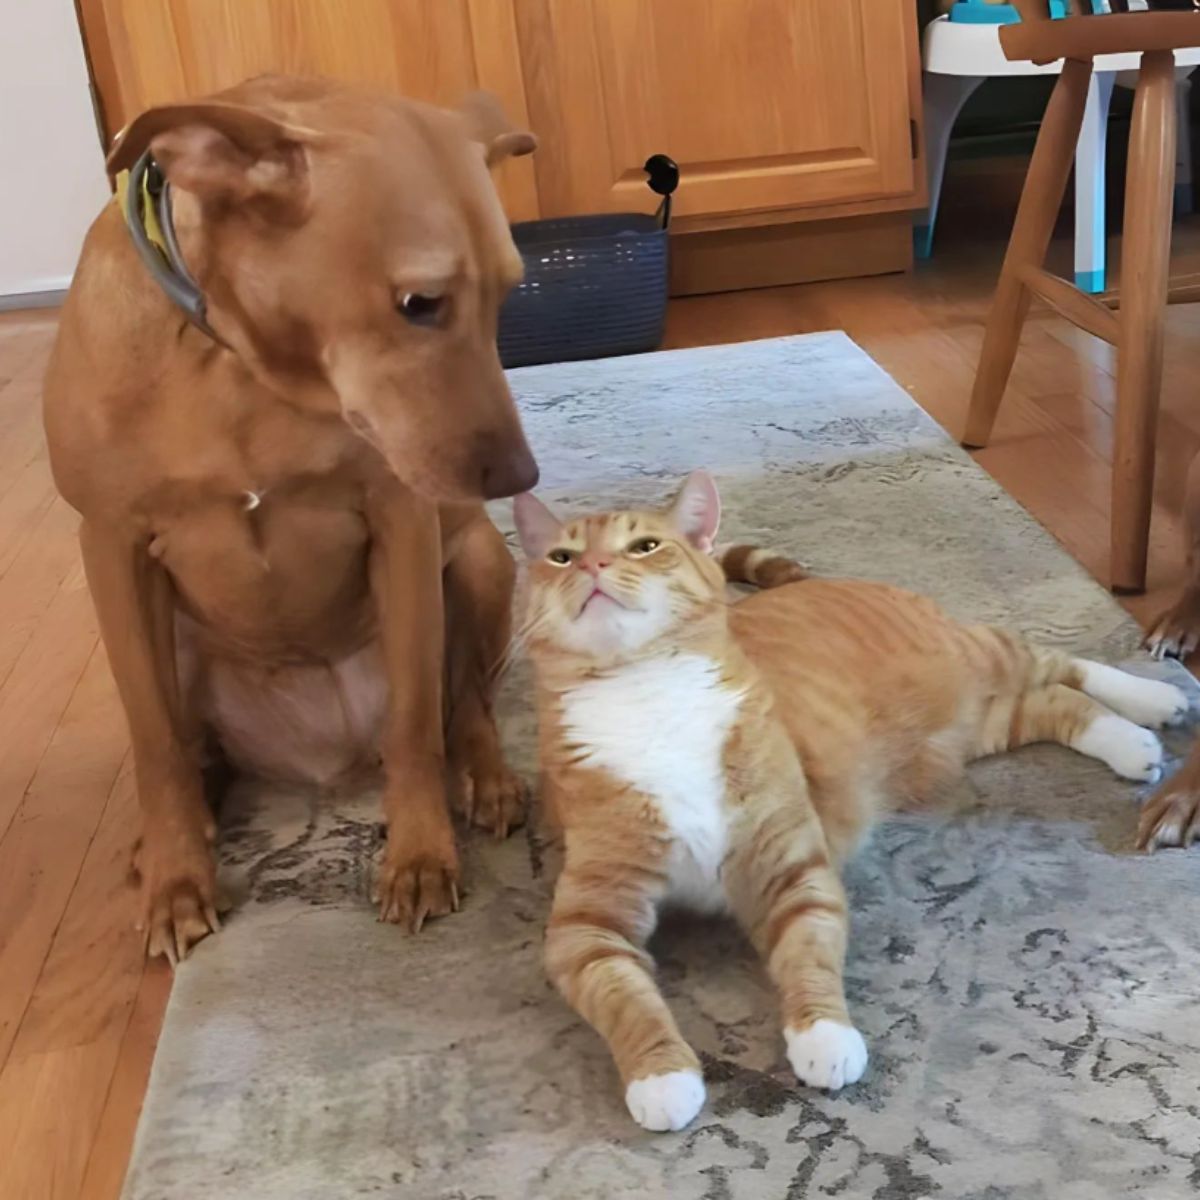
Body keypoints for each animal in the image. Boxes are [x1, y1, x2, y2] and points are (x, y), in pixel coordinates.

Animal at [42, 75, 540, 960]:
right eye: (420, 303)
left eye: (507, 292)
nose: (522, 476)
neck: (240, 363)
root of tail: (321, 758)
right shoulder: (110, 545)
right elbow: (154, 743)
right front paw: (177, 878)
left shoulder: (402, 525)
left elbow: (417, 719)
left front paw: (420, 855)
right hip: (168, 638)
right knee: (191, 746)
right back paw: (174, 834)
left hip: (480, 565)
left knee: (464, 703)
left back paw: (486, 778)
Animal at [511, 470, 1185, 1132]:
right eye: (561, 556)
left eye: (644, 546)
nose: (592, 565)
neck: (645, 690)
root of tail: (812, 582)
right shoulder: (588, 925)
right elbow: (626, 999)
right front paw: (662, 1077)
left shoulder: (794, 874)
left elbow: (809, 958)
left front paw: (825, 1039)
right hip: (975, 724)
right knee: (1054, 702)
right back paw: (1130, 743)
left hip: (975, 659)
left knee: (1063, 664)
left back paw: (1158, 702)